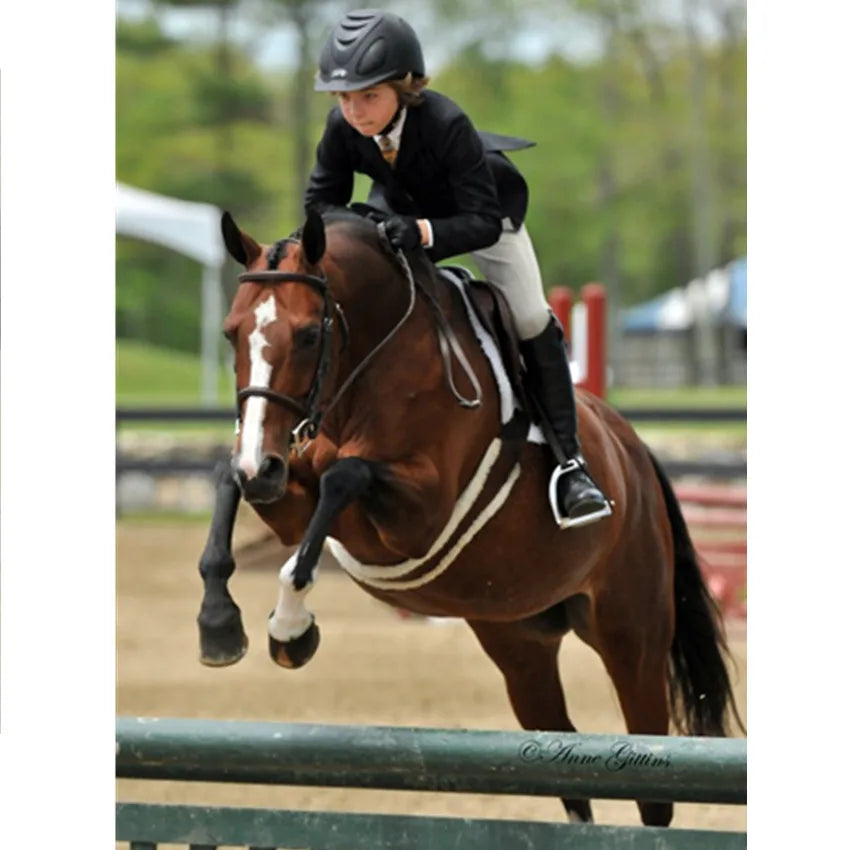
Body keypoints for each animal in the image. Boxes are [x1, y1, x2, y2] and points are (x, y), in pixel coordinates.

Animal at [196, 207, 743, 827]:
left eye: (311, 334)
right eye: (231, 332)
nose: (258, 465)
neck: (370, 363)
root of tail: (635, 453)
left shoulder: (417, 513)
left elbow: (343, 479)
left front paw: (290, 627)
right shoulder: (289, 495)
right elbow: (232, 482)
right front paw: (219, 623)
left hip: (633, 639)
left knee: (652, 783)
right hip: (519, 643)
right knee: (563, 759)